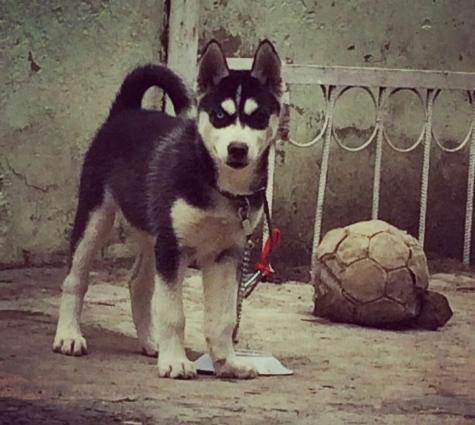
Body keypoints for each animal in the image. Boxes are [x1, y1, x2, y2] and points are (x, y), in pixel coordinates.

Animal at [52, 39, 282, 379]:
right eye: (219, 115)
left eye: (259, 116)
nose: (237, 149)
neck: (217, 183)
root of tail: (126, 111)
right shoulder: (173, 248)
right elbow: (173, 313)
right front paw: (175, 361)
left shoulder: (225, 253)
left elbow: (224, 317)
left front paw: (227, 362)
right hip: (96, 217)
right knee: (76, 279)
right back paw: (69, 336)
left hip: (153, 234)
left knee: (139, 284)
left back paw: (151, 342)